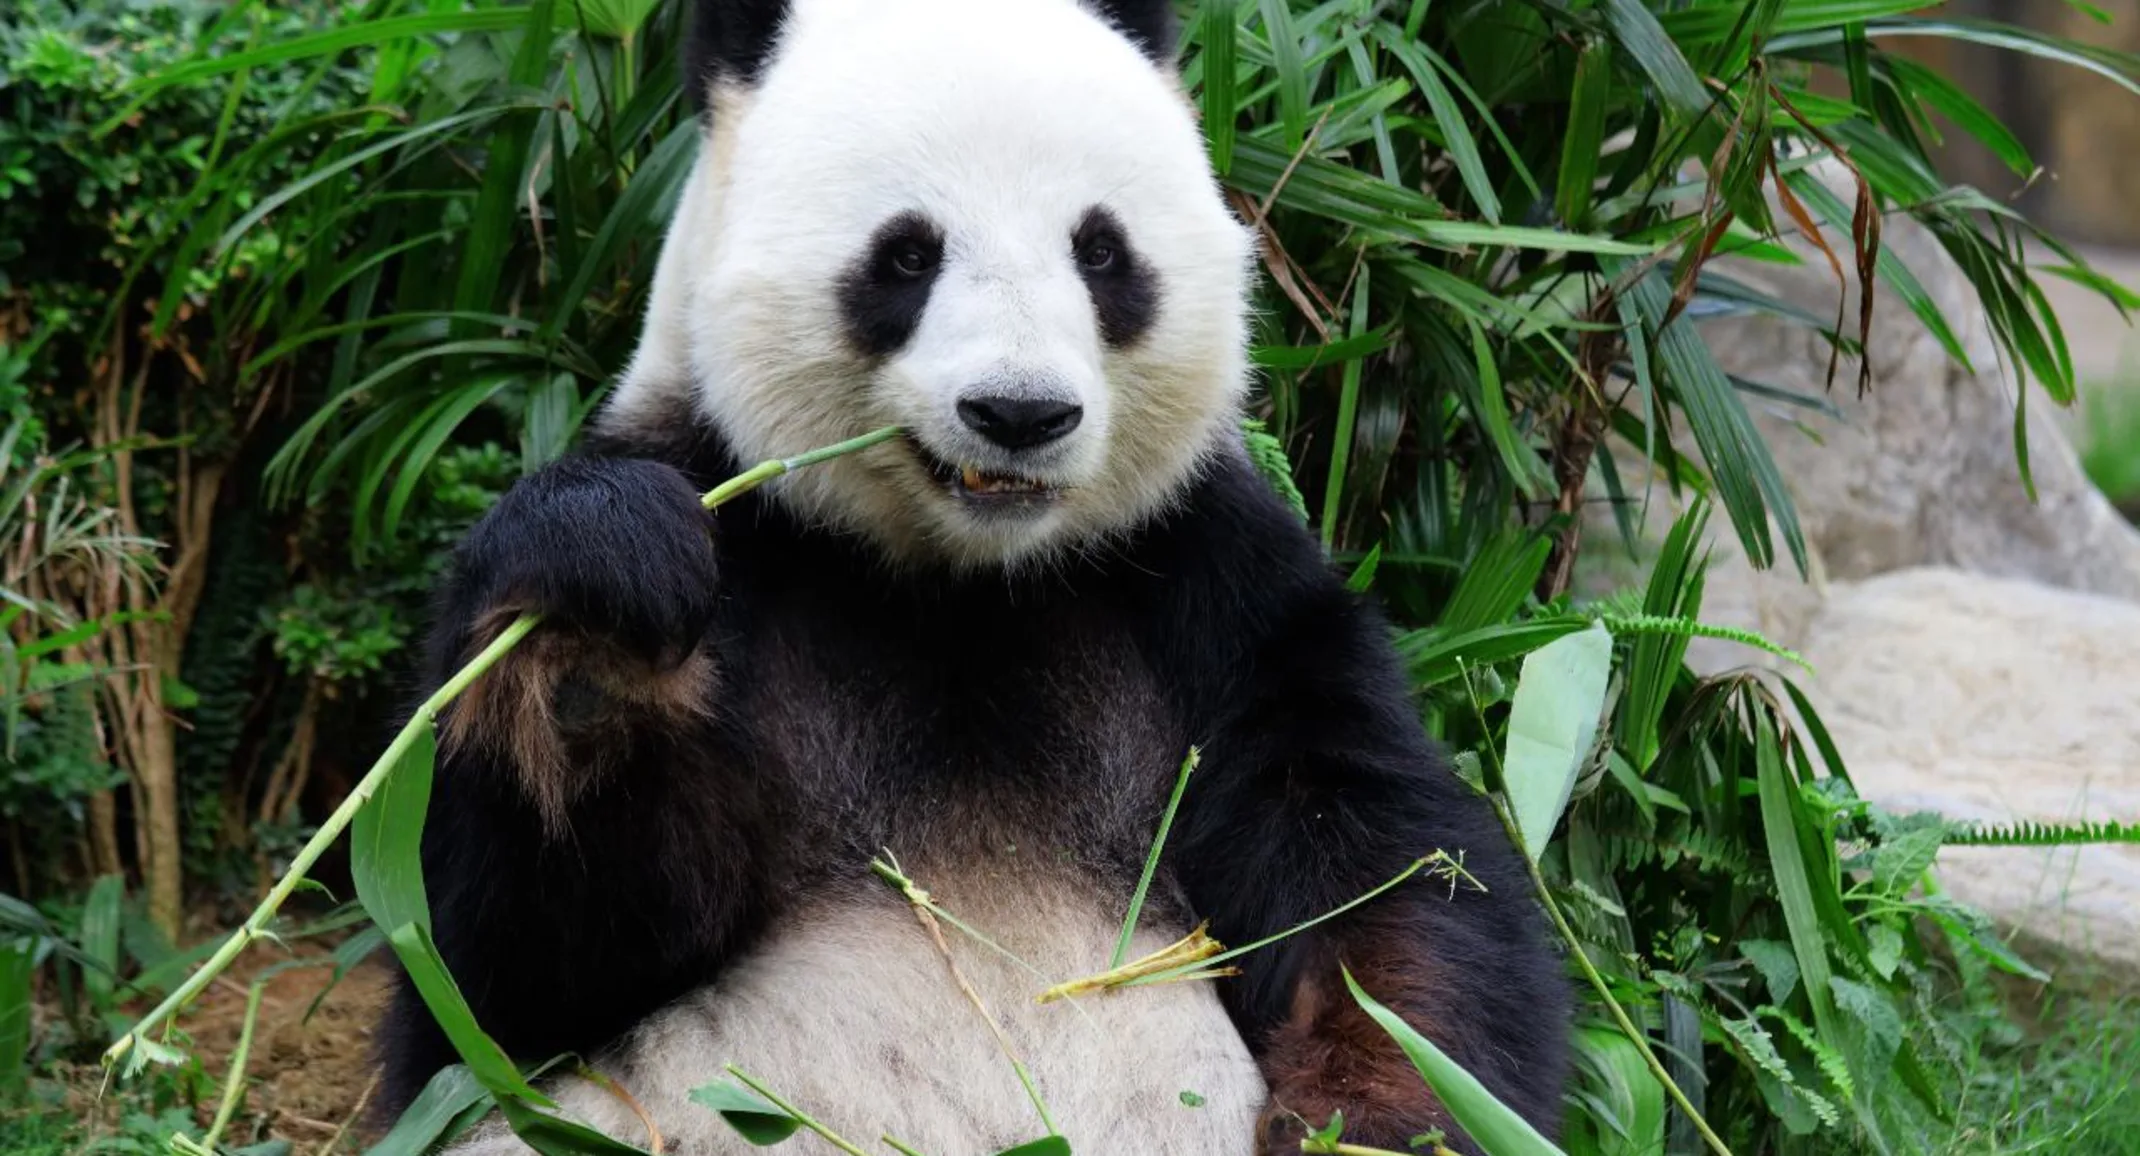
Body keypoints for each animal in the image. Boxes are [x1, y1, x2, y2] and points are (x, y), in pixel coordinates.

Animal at [372, 0, 1575, 1147]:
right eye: (907, 255)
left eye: (1101, 252)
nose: (1020, 413)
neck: (964, 580)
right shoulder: (737, 515)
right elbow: (498, 983)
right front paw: (595, 628)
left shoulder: (1208, 579)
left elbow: (1380, 872)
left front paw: (1374, 1118)